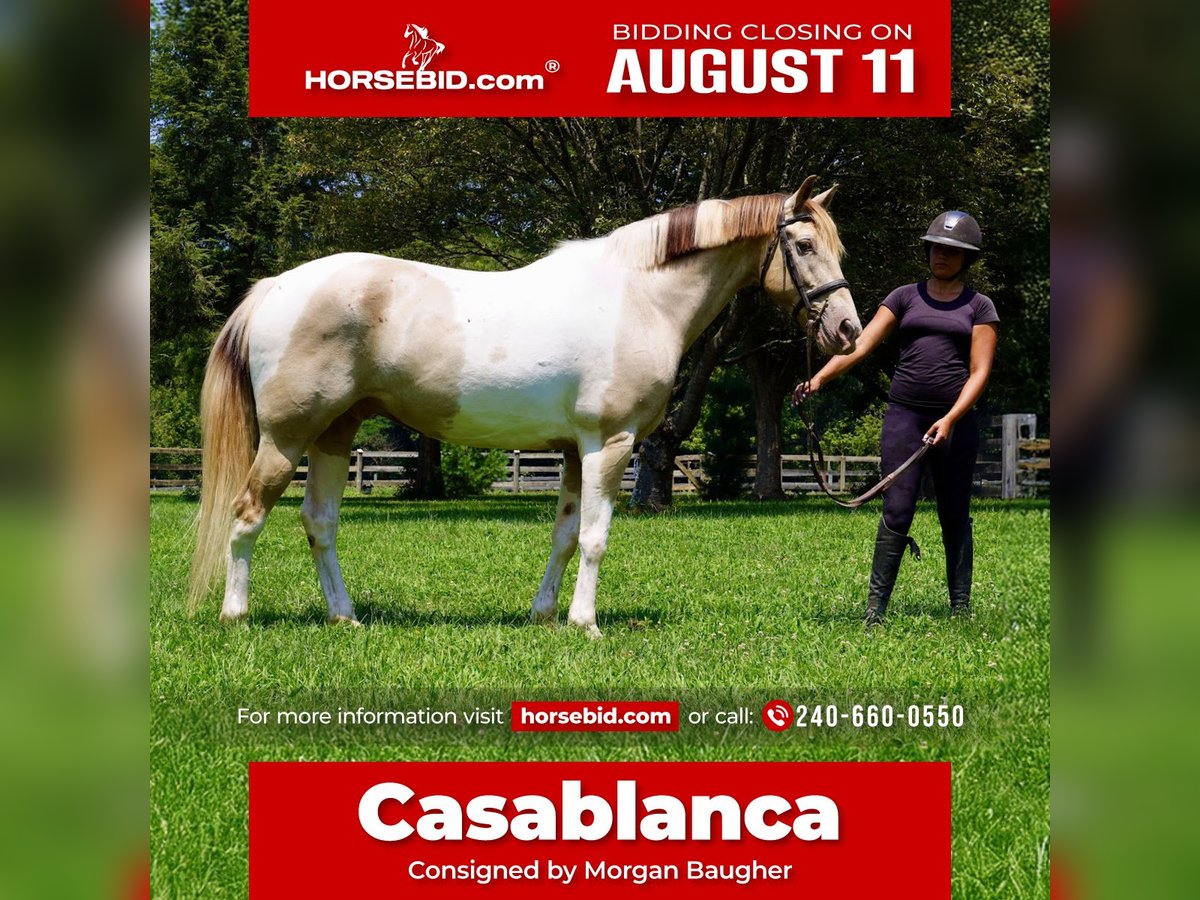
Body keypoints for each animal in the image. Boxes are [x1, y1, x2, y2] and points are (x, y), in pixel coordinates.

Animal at [188, 177, 861, 636]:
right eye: (803, 245)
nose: (848, 331)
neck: (639, 296)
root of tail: (275, 288)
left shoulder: (573, 452)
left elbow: (564, 534)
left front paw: (545, 615)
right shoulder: (610, 444)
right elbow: (594, 536)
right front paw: (586, 624)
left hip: (335, 432)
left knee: (319, 523)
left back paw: (345, 617)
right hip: (286, 438)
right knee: (247, 515)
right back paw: (235, 614)